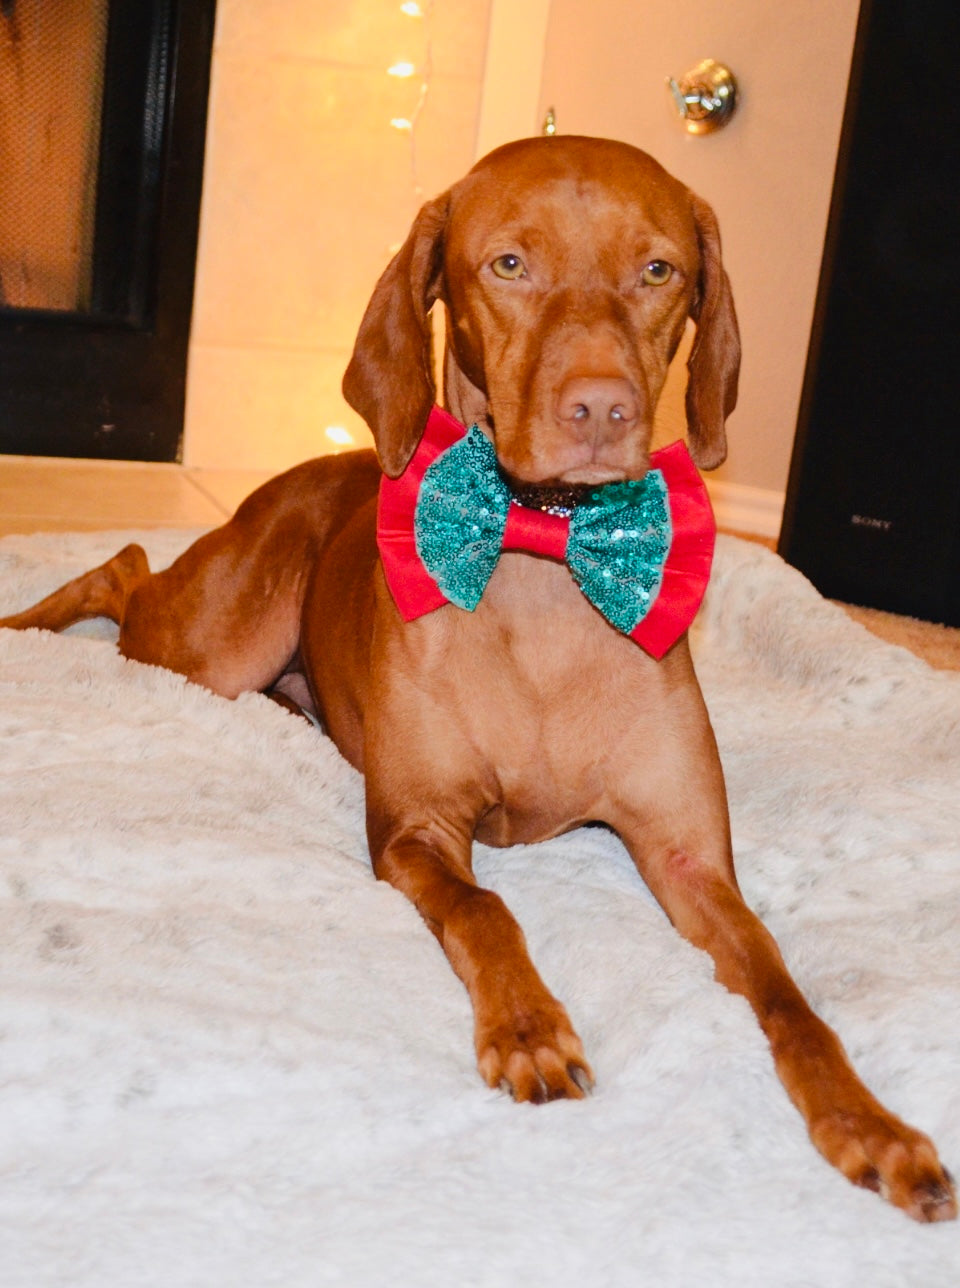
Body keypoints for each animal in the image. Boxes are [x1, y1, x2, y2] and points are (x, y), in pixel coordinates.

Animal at [3, 138, 953, 1215]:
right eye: (508, 264)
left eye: (658, 270)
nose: (602, 408)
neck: (547, 556)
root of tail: (309, 472)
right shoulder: (415, 828)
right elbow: (485, 910)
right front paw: (529, 1028)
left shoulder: (690, 862)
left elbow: (790, 996)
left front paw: (868, 1123)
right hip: (213, 642)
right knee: (122, 565)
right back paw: (25, 621)